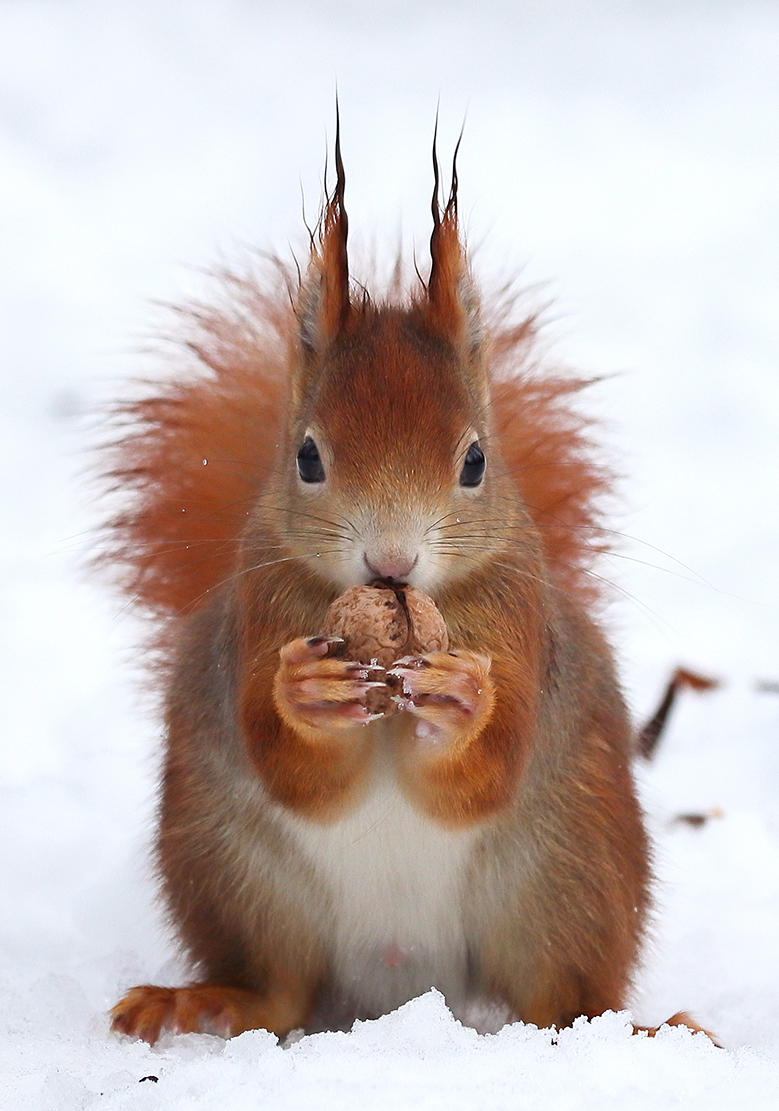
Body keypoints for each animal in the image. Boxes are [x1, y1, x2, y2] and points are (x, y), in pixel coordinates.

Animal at [103, 126, 666, 1044]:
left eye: (474, 461)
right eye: (306, 456)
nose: (390, 565)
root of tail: (406, 986)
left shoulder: (516, 615)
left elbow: (488, 771)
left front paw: (463, 700)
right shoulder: (261, 603)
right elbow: (291, 768)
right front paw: (308, 690)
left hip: (568, 875)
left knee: (561, 993)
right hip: (230, 870)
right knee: (279, 989)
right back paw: (206, 1000)